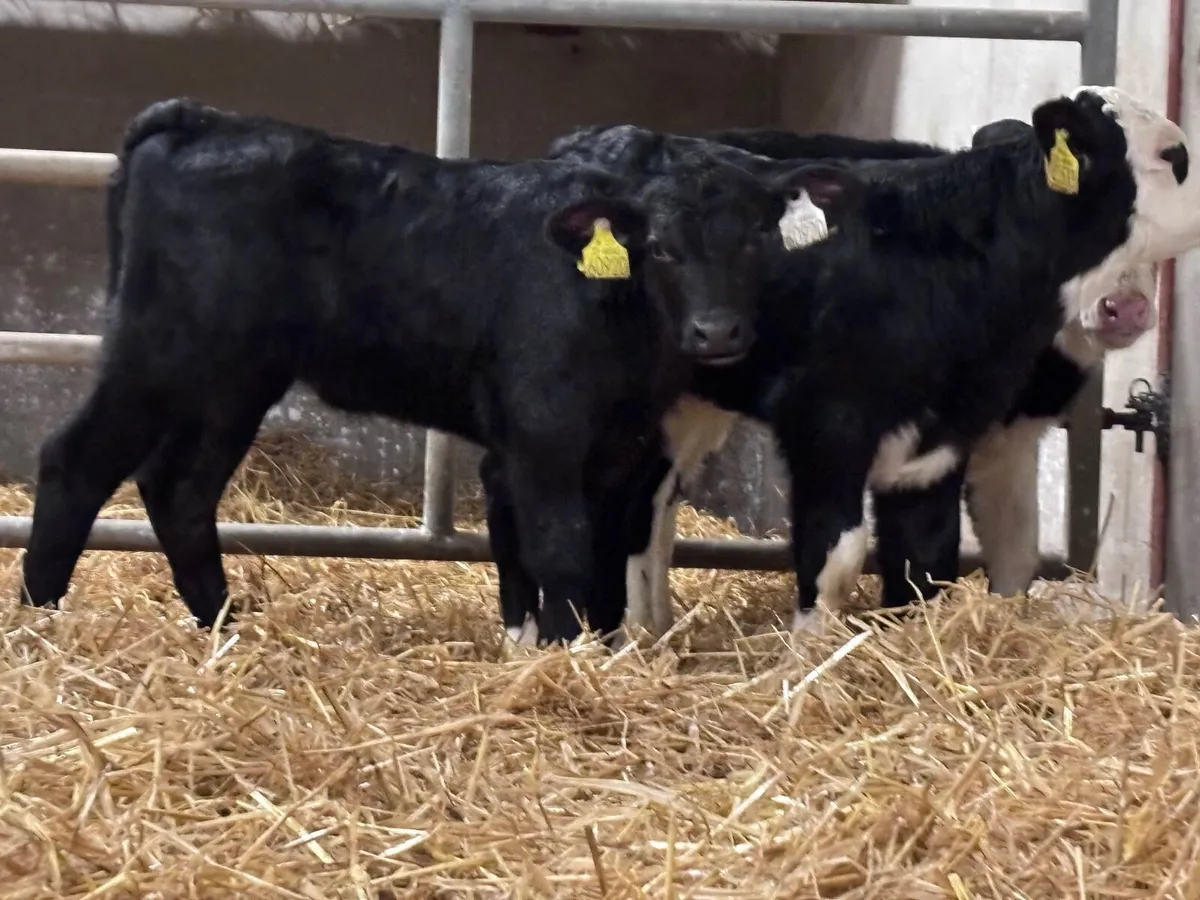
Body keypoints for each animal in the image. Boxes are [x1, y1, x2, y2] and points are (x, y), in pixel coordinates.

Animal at [17, 97, 865, 643]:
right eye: (658, 245)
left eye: (756, 236)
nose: (718, 331)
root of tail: (201, 120)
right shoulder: (545, 438)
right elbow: (560, 550)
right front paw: (566, 658)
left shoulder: (615, 449)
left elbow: (594, 561)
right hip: (159, 352)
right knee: (76, 463)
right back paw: (40, 626)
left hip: (235, 379)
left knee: (181, 489)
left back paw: (222, 628)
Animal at [483, 85, 1195, 646]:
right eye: (1175, 157)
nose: (1125, 310)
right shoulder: (827, 423)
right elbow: (838, 551)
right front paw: (807, 664)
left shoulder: (959, 436)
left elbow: (948, 556)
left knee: (648, 507)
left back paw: (649, 629)